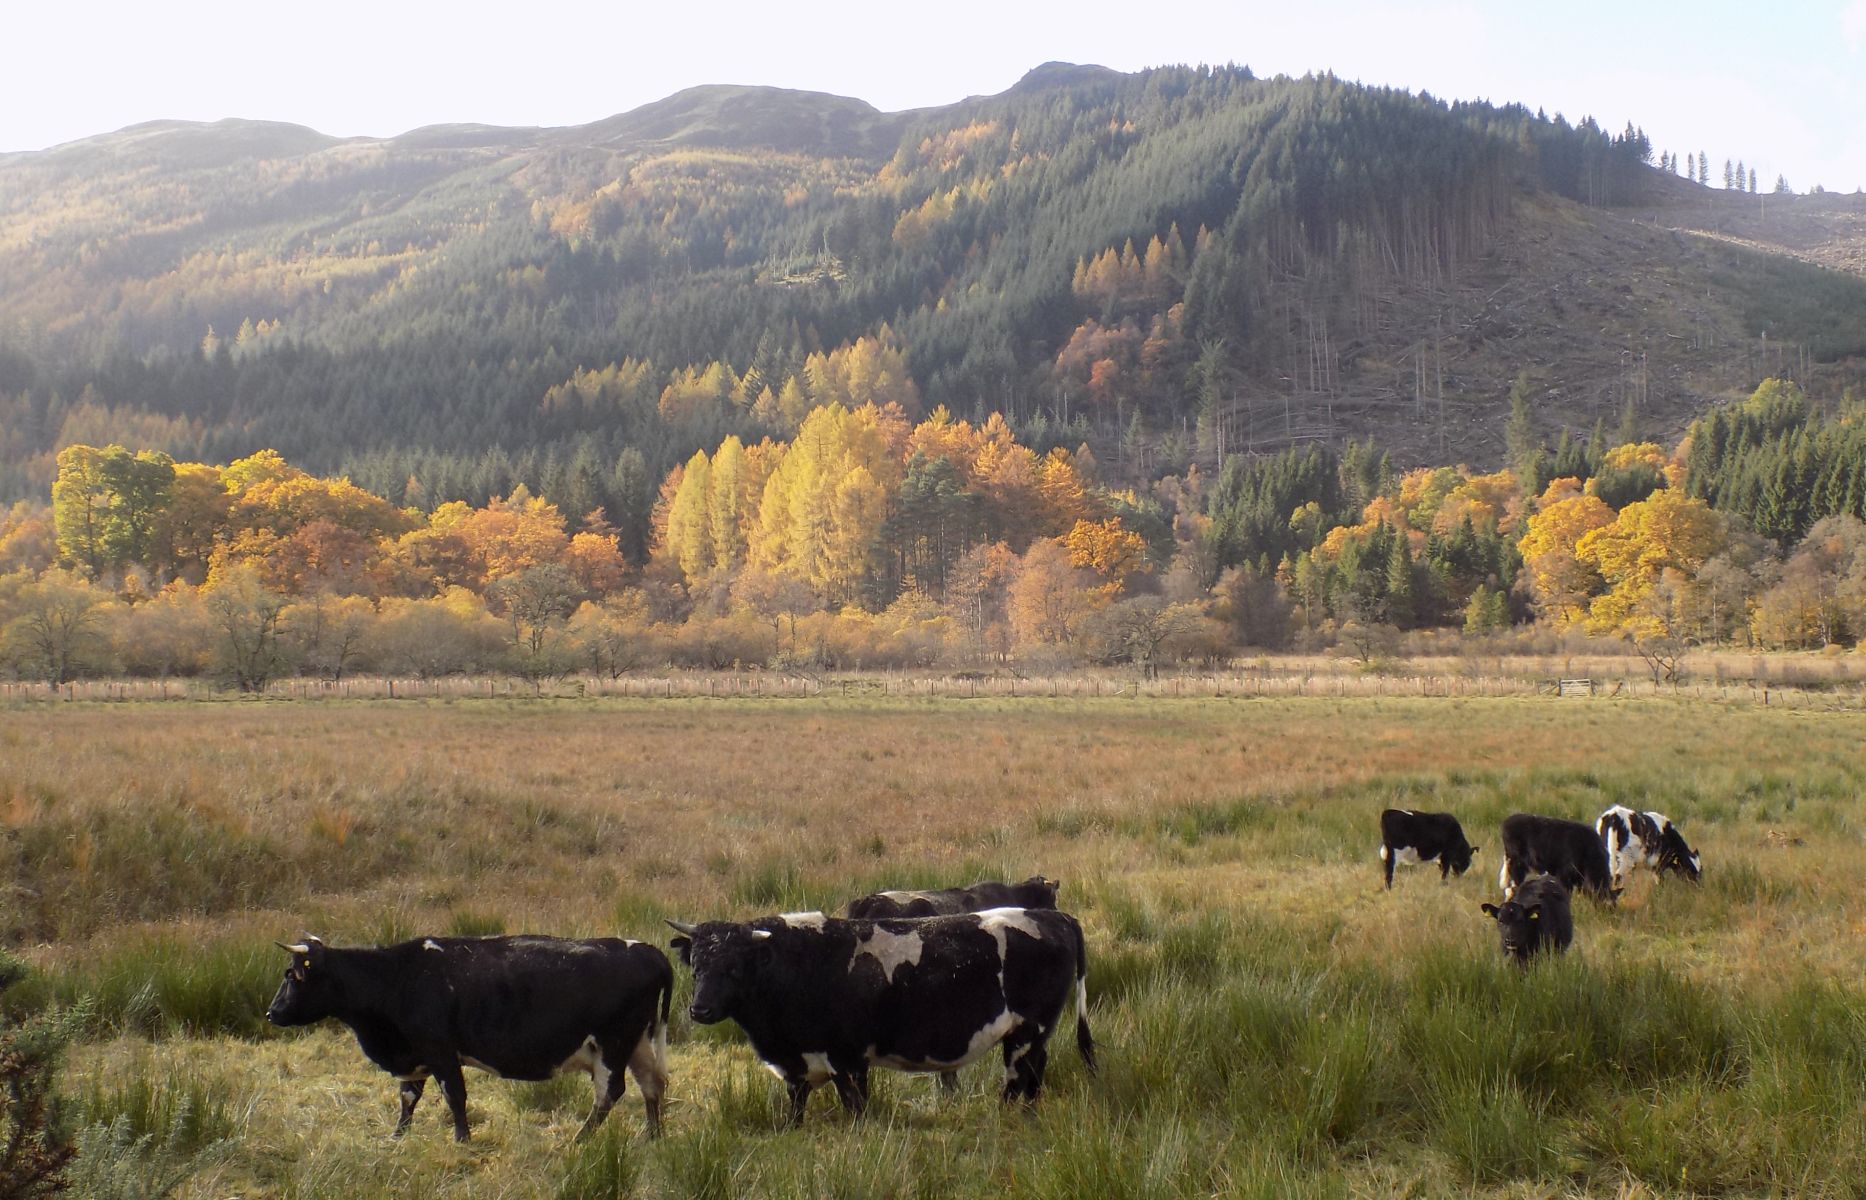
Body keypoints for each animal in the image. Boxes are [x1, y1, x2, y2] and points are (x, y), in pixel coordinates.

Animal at [263, 933, 671, 1142]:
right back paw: (652, 1136)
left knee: (610, 1093)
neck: (398, 977)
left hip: (612, 1045)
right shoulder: (415, 1055)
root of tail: (646, 950)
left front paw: (462, 1140)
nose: (271, 1012)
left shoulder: (441, 1051)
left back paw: (580, 1138)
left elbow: (454, 1096)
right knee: (652, 1085)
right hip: (638, 1044)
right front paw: (398, 1136)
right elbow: (408, 1097)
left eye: (291, 975)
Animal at [668, 910, 1089, 1127]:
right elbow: (796, 1104)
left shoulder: (846, 1061)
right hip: (1034, 1036)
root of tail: (1048, 913)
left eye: (734, 969)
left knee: (1018, 1080)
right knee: (1035, 1076)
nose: (700, 1010)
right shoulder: (800, 1064)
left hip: (1025, 1033)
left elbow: (855, 1106)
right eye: (697, 967)